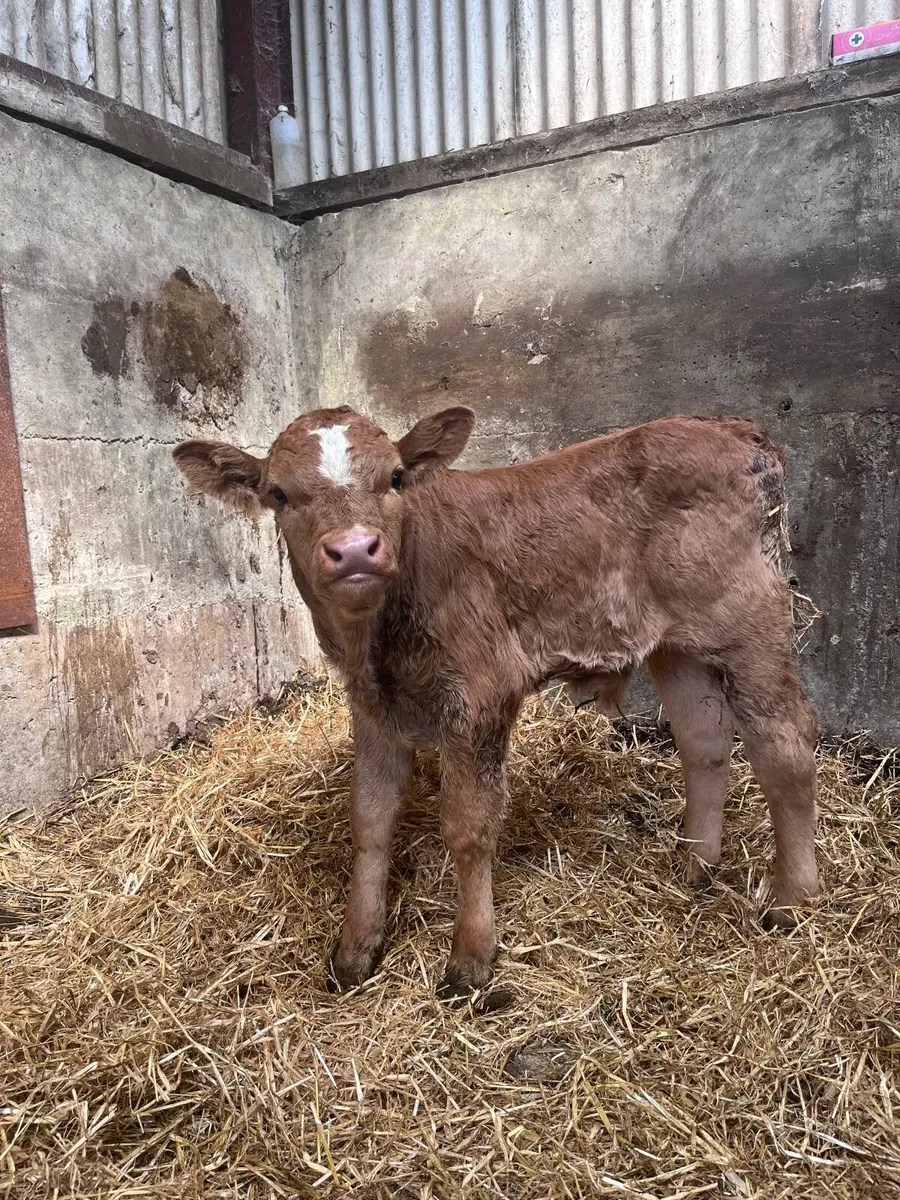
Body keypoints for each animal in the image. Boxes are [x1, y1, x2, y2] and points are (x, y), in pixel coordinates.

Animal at [173, 406, 820, 998]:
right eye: (279, 493)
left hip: (750, 619)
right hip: (676, 644)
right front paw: (355, 952)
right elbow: (370, 819)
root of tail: (732, 427)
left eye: (395, 478)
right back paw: (695, 866)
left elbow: (468, 826)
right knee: (703, 740)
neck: (377, 642)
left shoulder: (481, 694)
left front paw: (470, 960)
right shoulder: (373, 707)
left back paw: (793, 901)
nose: (355, 550)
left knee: (786, 746)